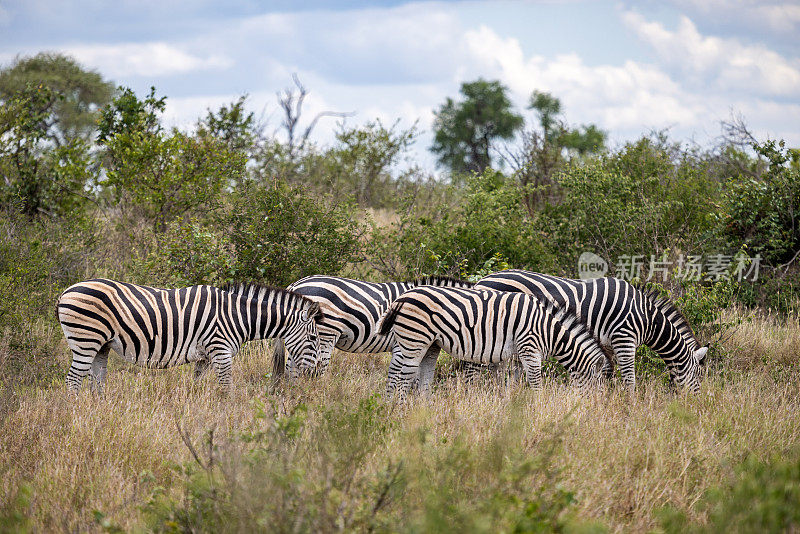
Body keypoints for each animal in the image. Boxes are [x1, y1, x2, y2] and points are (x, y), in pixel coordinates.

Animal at [54, 280, 324, 394]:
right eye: (313, 338)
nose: (315, 375)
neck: (237, 315)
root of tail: (66, 291)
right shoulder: (221, 351)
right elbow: (226, 388)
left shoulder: (205, 356)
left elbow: (196, 385)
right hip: (86, 341)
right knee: (73, 380)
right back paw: (76, 415)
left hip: (102, 345)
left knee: (96, 381)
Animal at [376, 288, 608, 398]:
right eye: (598, 387)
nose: (595, 408)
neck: (547, 331)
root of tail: (401, 297)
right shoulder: (529, 348)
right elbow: (536, 384)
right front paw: (539, 408)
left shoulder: (510, 356)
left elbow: (505, 384)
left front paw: (505, 406)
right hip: (415, 338)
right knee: (403, 375)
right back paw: (400, 410)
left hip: (428, 343)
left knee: (412, 373)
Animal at [476, 272, 708, 394]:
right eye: (698, 374)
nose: (696, 402)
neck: (648, 319)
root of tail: (482, 280)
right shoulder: (624, 337)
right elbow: (629, 378)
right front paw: (631, 406)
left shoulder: (606, 343)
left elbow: (606, 372)